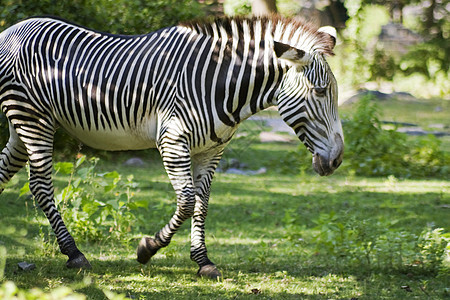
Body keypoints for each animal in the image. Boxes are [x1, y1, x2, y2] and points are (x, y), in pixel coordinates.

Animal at [0, 15, 344, 278]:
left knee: (6, 170)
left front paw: (203, 261)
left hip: (20, 125)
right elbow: (188, 201)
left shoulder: (212, 150)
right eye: (319, 91)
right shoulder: (172, 141)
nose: (337, 161)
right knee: (41, 185)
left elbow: (202, 204)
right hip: (33, 118)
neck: (219, 84)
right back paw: (74, 253)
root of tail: (11, 30)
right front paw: (147, 249)